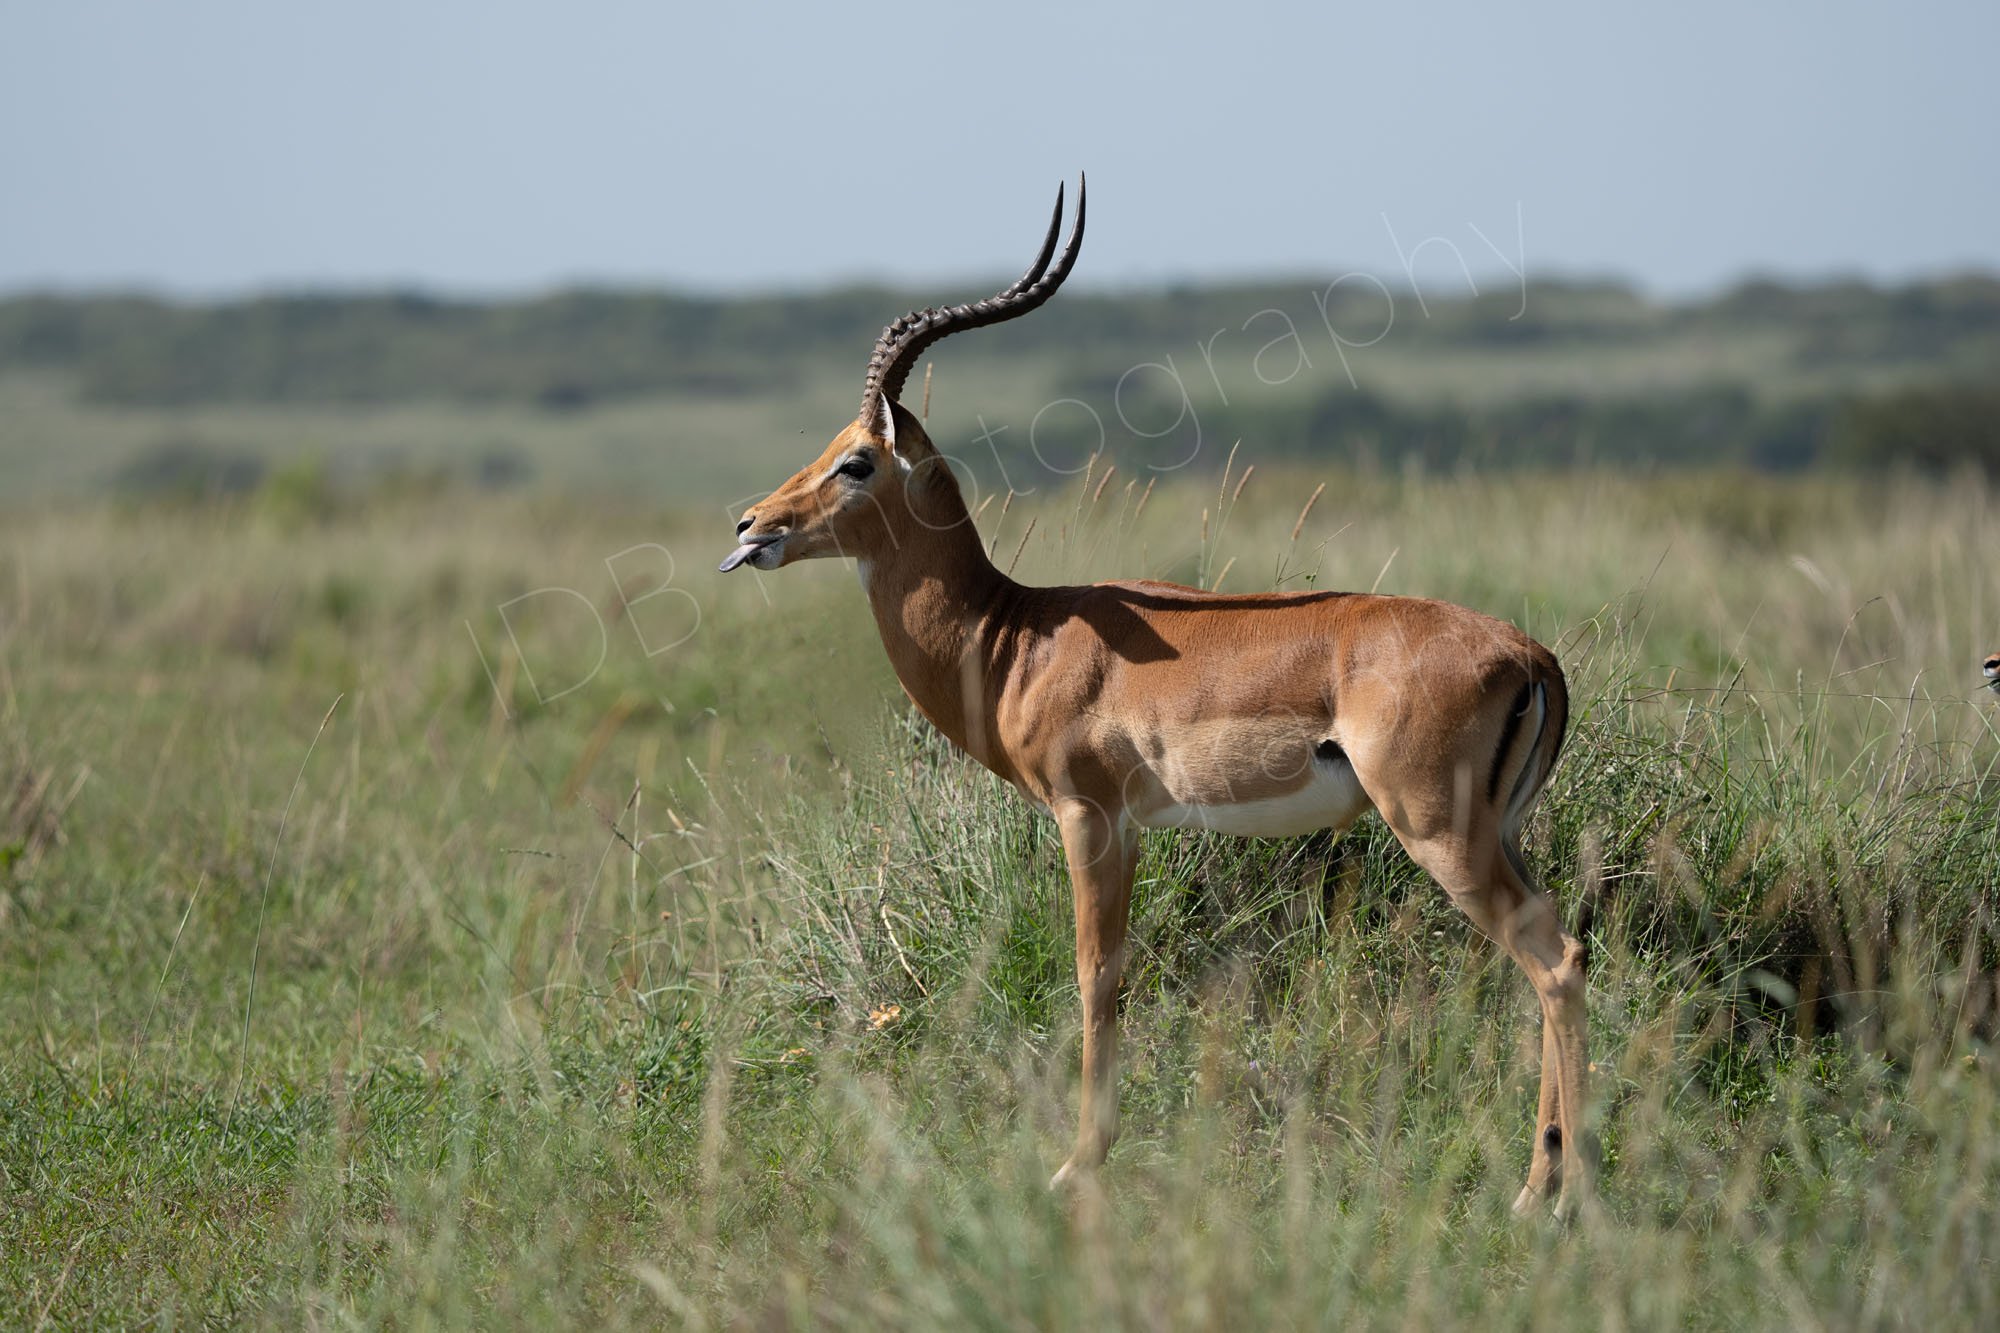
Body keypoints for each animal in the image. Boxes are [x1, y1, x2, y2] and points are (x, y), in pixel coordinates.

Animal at [719, 179, 1591, 1217]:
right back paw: (1549, 1179)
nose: (751, 525)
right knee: (1557, 954)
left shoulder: (1086, 815)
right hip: (1499, 832)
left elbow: (1097, 974)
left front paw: (1077, 1164)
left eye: (856, 459)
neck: (1015, 635)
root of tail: (1531, 654)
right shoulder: (1131, 827)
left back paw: (1554, 1195)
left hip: (1438, 831)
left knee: (1555, 959)